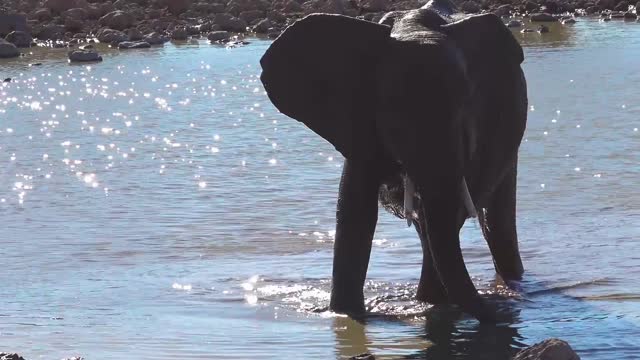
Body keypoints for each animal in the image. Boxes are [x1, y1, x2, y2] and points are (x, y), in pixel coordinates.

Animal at [258, 0, 528, 322]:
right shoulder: (358, 120)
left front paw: (433, 311)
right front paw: (345, 315)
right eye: (389, 108)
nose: (500, 314)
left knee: (493, 221)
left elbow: (450, 213)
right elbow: (354, 212)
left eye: (466, 103)